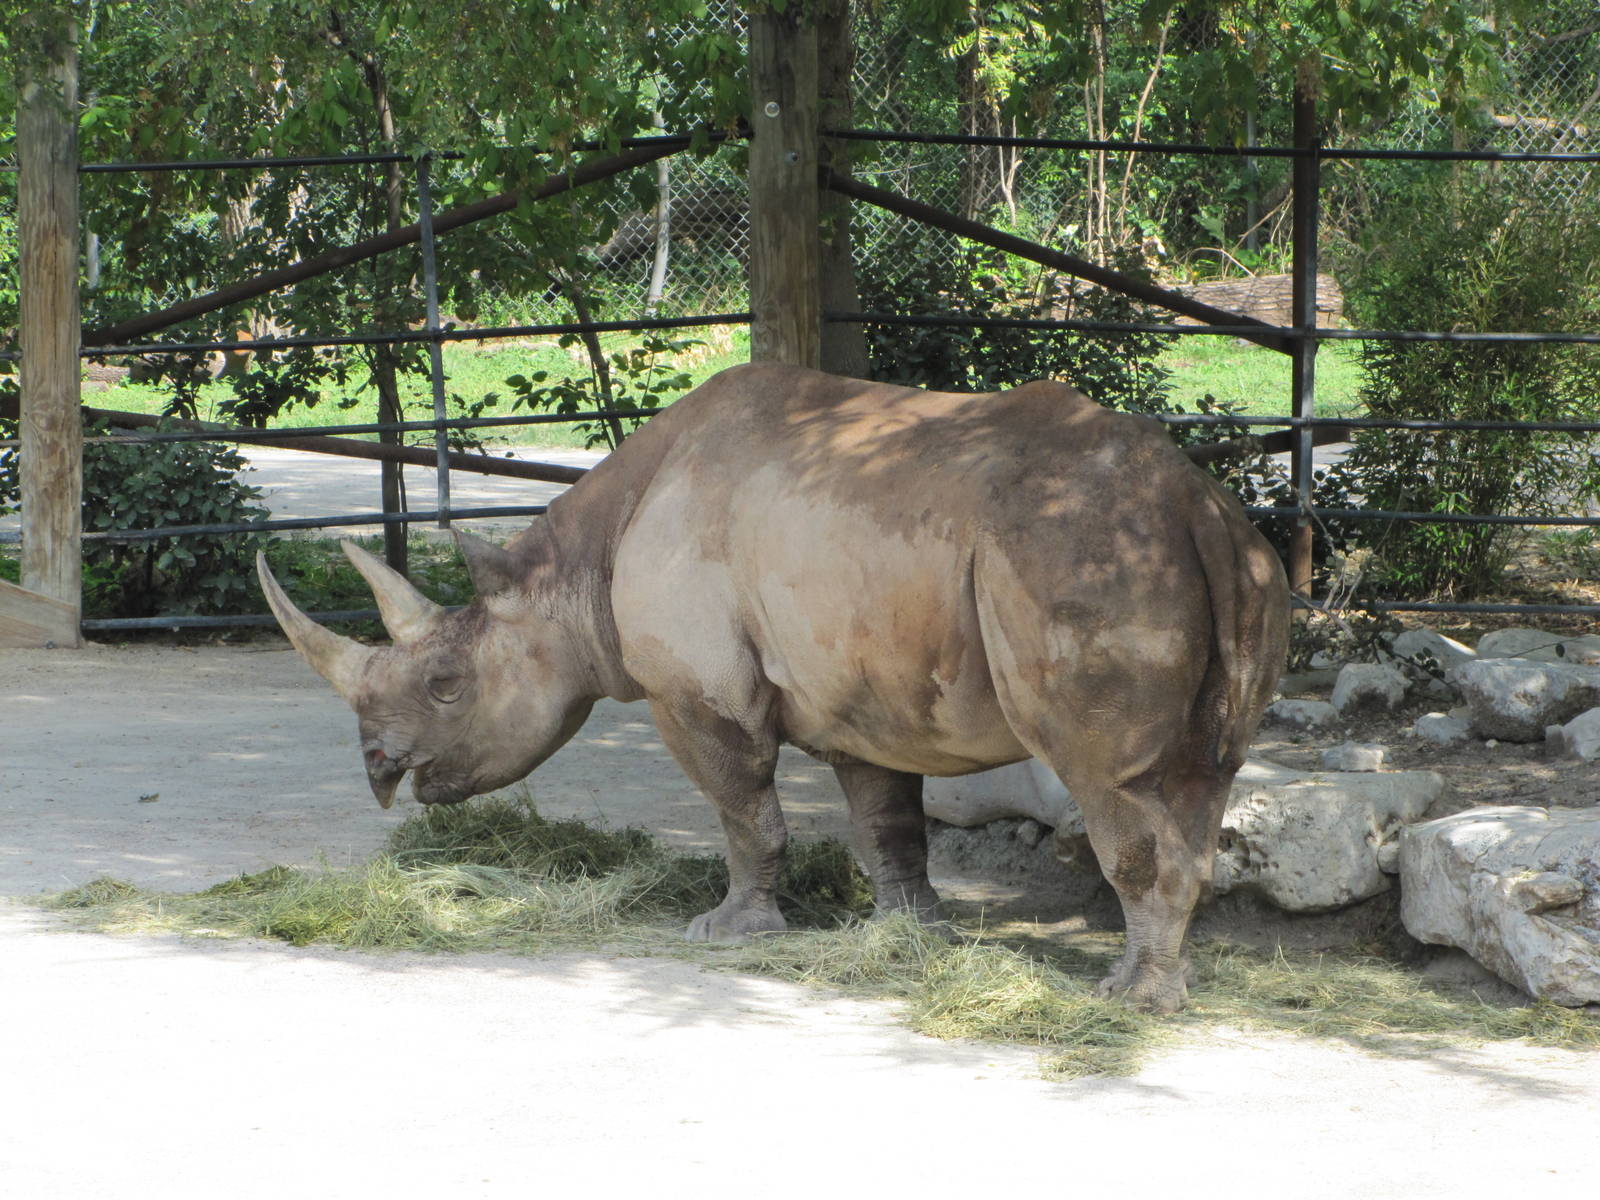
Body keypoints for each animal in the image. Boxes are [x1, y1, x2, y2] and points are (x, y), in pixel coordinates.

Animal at [258, 363, 1288, 1012]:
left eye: (444, 685)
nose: (378, 770)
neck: (570, 574)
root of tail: (1196, 502)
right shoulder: (866, 693)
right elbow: (886, 822)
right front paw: (910, 934)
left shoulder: (699, 693)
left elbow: (745, 809)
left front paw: (727, 932)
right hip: (1228, 561)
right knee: (1204, 773)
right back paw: (1160, 983)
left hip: (1077, 555)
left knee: (1105, 777)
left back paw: (1130, 1002)